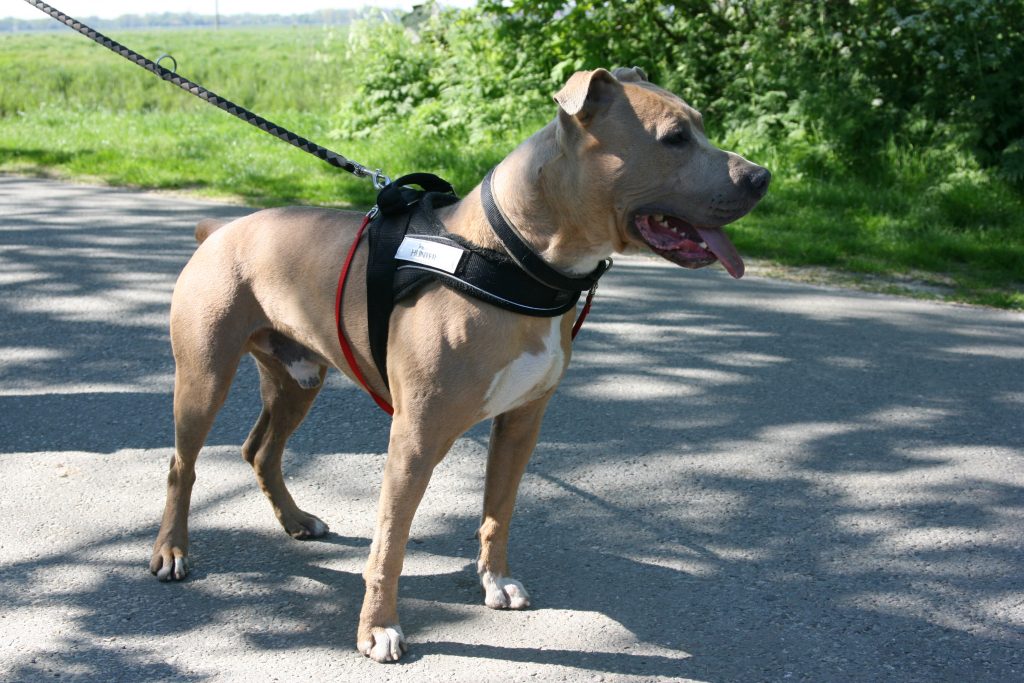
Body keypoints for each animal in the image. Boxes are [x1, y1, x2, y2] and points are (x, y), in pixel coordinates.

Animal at [149, 66, 770, 662]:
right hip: (203, 378)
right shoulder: (416, 438)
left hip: (298, 377)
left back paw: (296, 520)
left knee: (261, 450)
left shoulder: (521, 424)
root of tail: (219, 230)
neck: (515, 257)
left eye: (699, 127)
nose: (761, 176)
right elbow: (390, 543)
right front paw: (378, 629)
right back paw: (171, 550)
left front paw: (495, 581)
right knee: (183, 465)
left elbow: (498, 510)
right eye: (675, 138)